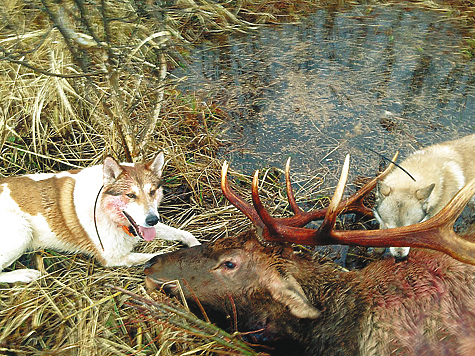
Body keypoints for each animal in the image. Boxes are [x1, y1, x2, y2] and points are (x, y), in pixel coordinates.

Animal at [0, 153, 200, 284]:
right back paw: (24, 275)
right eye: (130, 195)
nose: (152, 220)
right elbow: (158, 255)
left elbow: (184, 233)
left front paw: (198, 247)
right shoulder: (111, 259)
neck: (105, 209)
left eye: (152, 192)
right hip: (21, 233)